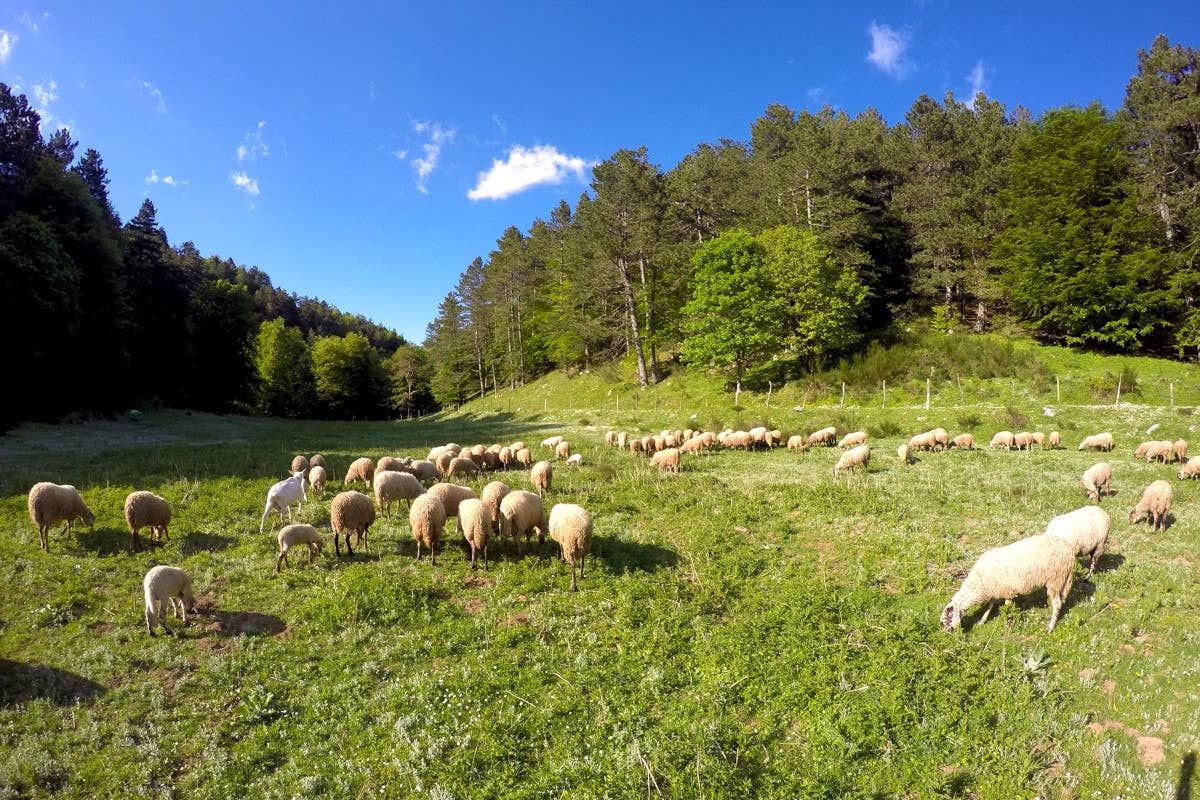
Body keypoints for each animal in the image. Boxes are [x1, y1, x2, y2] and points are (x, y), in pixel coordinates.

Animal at [936, 534, 1080, 633]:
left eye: (945, 621)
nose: (945, 634)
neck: (979, 583)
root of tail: (1068, 550)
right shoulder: (994, 590)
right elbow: (990, 606)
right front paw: (982, 621)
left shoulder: (1007, 591)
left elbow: (1006, 607)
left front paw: (1006, 623)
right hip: (1063, 579)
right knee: (1061, 600)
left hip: (1055, 579)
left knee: (1057, 603)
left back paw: (1050, 627)